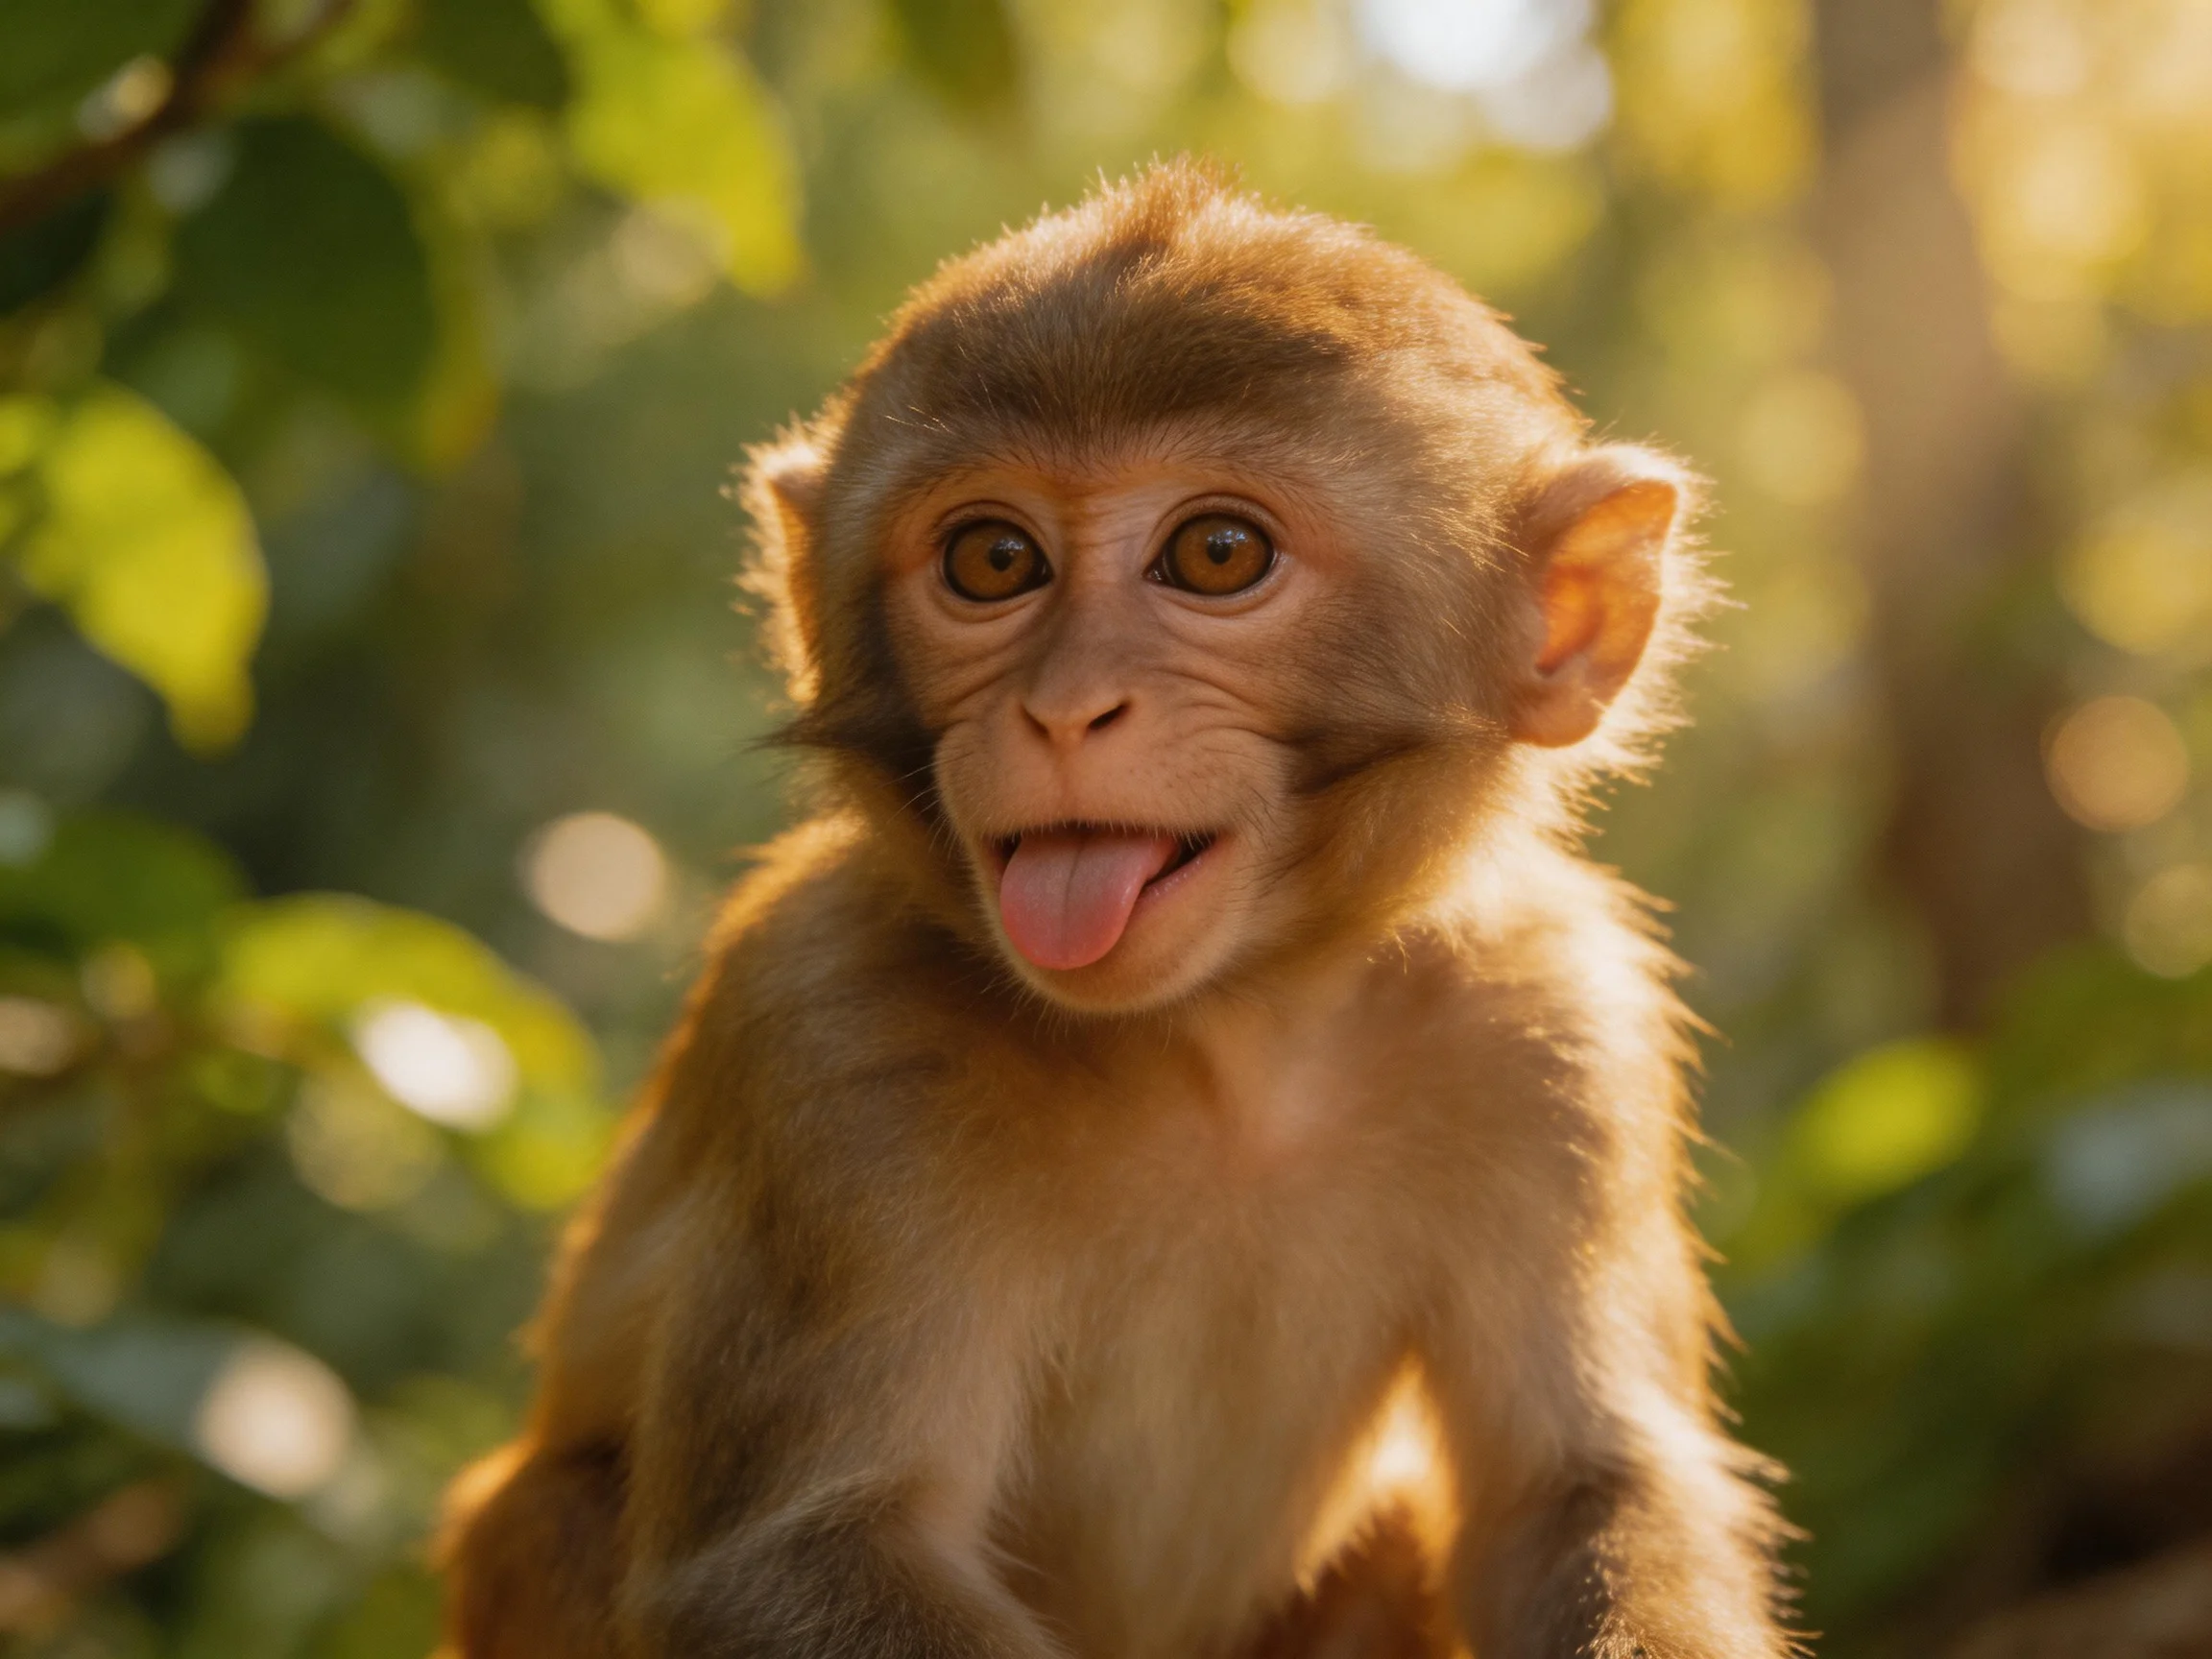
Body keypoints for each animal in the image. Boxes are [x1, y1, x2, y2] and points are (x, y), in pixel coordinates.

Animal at [436, 159, 1797, 1659]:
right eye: (991, 561)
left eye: (1216, 553)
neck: (1227, 1042)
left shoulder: (1558, 1028)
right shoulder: (828, 1038)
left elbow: (1575, 1487)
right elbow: (792, 1552)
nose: (1063, 708)